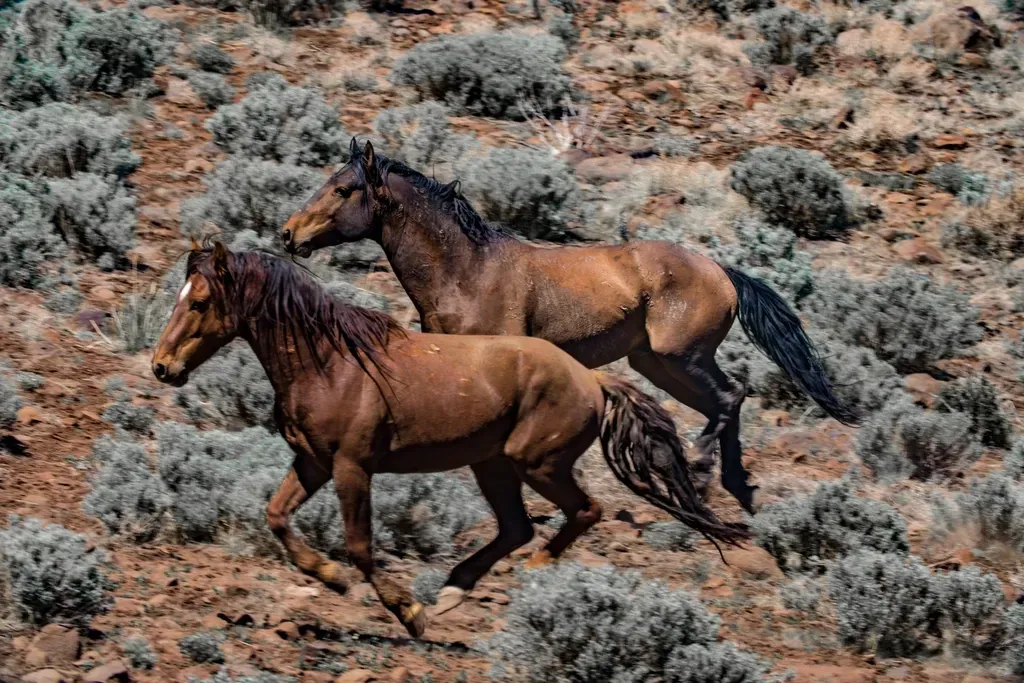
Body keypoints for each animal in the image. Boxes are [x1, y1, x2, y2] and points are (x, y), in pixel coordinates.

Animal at [151, 242, 746, 638]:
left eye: (199, 303)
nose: (162, 367)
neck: (330, 364)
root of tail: (593, 380)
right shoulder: (313, 463)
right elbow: (276, 516)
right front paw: (331, 579)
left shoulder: (351, 467)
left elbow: (361, 546)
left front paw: (406, 613)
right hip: (494, 466)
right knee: (516, 528)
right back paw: (453, 593)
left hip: (536, 463)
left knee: (582, 512)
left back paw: (527, 575)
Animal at [280, 139, 859, 515]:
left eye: (344, 189)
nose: (288, 233)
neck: (467, 271)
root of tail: (722, 272)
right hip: (656, 363)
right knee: (725, 401)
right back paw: (733, 486)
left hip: (681, 358)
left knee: (731, 397)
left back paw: (701, 469)